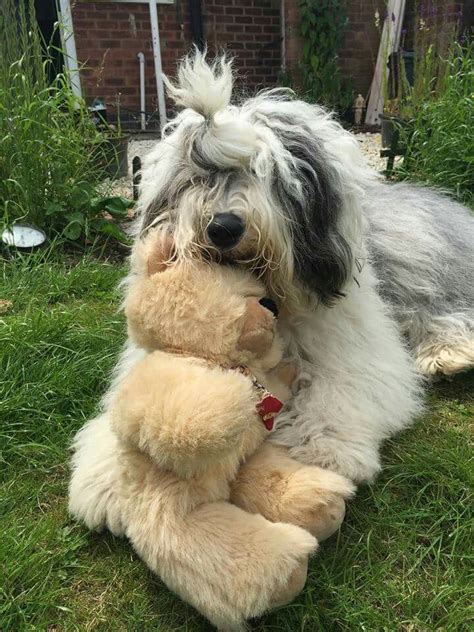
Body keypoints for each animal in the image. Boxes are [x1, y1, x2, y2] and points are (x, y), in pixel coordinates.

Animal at [68, 53, 472, 528]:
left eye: (265, 174)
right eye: (198, 177)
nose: (223, 227)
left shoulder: (357, 351)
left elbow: (340, 391)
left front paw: (317, 451)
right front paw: (110, 476)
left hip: (423, 269)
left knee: (442, 308)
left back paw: (448, 353)